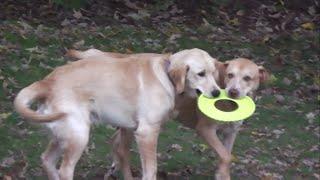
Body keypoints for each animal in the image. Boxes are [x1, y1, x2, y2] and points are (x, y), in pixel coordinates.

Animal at [14, 48, 220, 180]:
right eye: (201, 74)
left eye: (213, 73)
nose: (217, 92)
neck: (166, 74)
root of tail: (47, 82)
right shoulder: (146, 133)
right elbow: (150, 170)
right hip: (79, 135)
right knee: (65, 170)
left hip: (64, 136)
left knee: (47, 160)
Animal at [68, 48, 270, 180]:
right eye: (229, 75)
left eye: (247, 78)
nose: (230, 92)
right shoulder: (205, 129)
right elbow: (226, 157)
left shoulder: (230, 133)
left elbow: (226, 157)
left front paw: (222, 174)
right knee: (121, 149)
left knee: (116, 143)